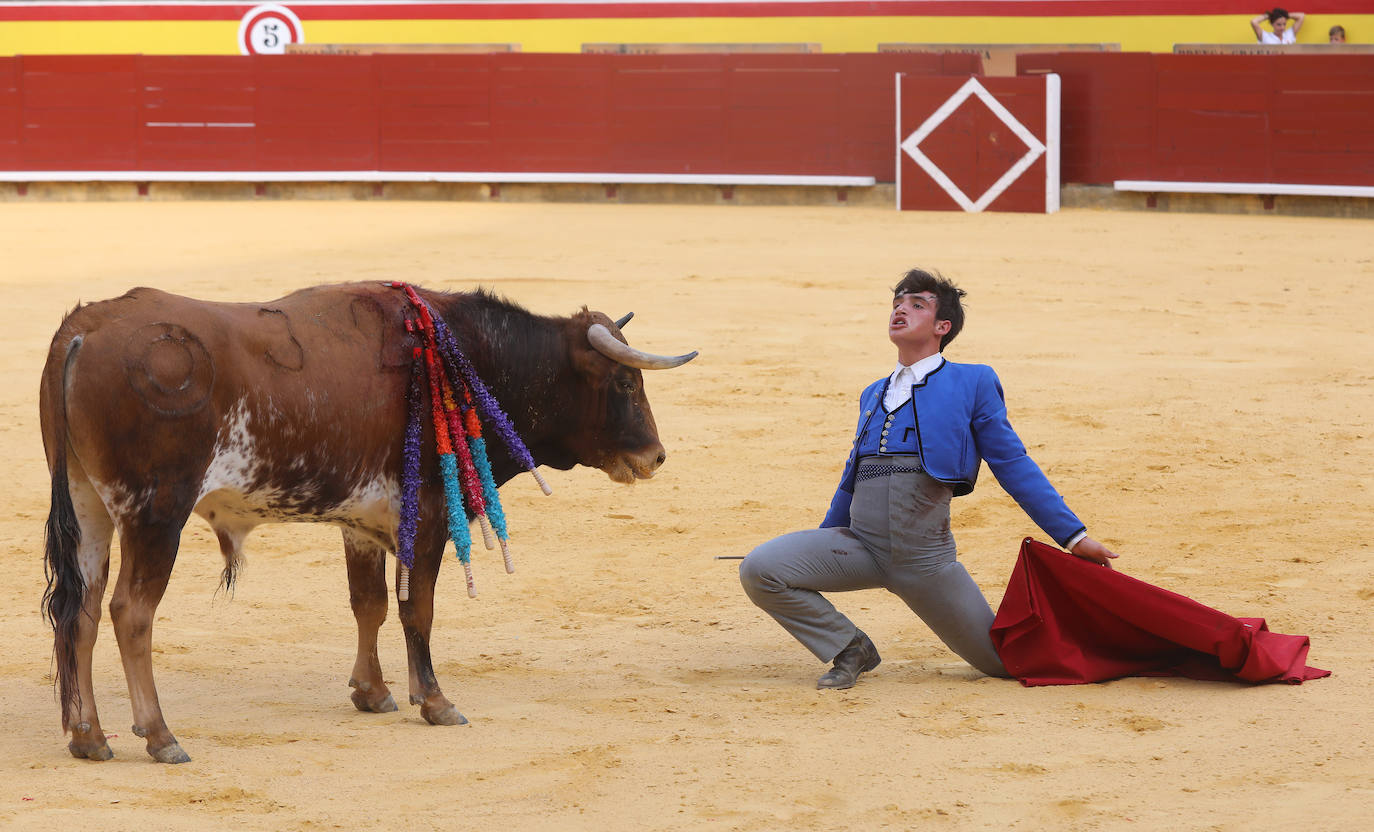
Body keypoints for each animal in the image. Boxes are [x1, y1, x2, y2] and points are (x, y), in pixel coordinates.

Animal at [42, 284, 697, 768]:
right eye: (624, 381)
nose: (657, 456)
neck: (470, 357)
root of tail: (85, 330)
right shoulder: (428, 514)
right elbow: (417, 610)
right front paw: (434, 701)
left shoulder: (361, 523)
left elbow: (370, 604)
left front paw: (374, 692)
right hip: (156, 514)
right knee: (131, 612)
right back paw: (159, 735)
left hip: (87, 507)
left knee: (82, 610)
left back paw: (88, 736)